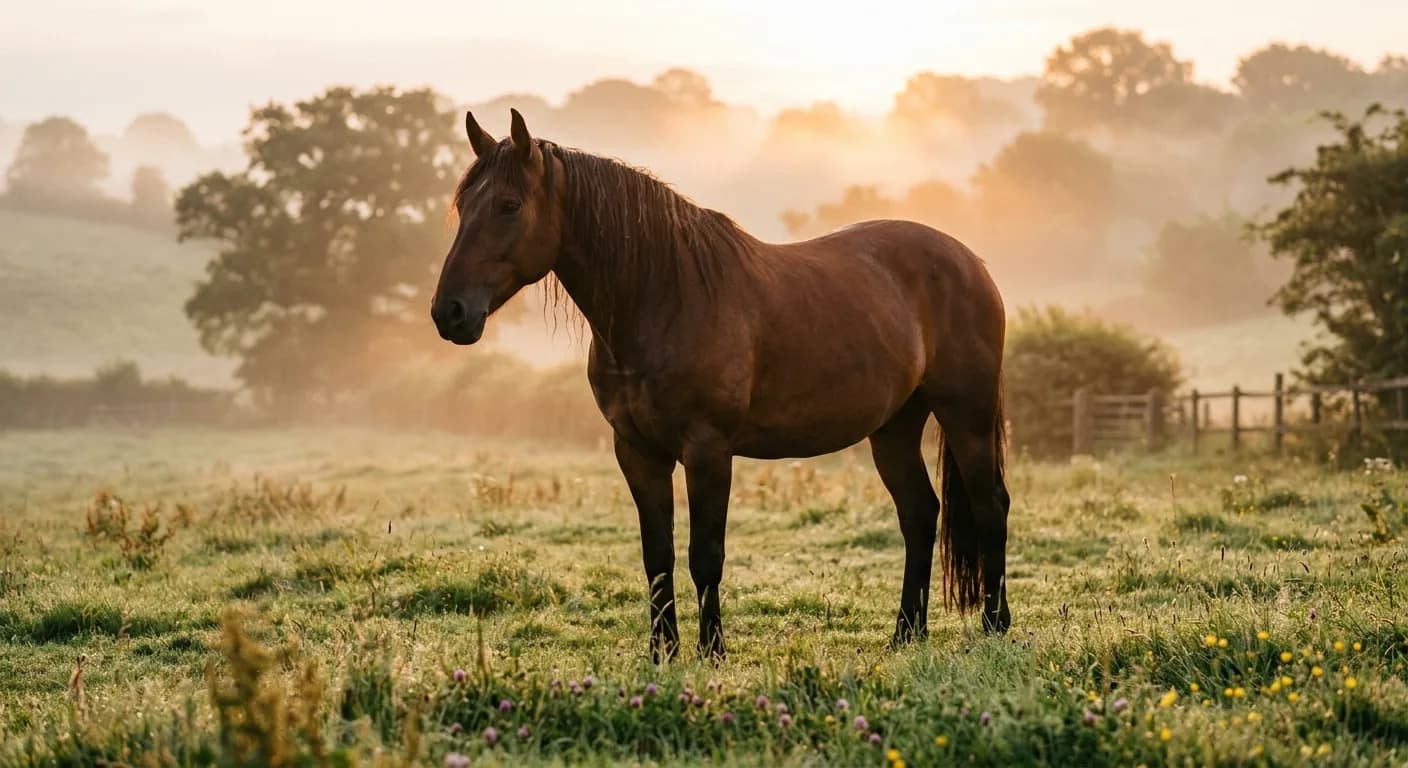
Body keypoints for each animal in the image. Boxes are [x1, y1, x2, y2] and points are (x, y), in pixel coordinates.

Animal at [431, 109, 1011, 662]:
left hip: (967, 415)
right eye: (463, 206)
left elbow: (705, 555)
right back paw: (906, 634)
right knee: (919, 514)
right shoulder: (637, 450)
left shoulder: (708, 449)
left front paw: (712, 651)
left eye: (508, 205)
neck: (665, 297)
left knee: (990, 505)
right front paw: (662, 653)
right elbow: (657, 555)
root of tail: (971, 261)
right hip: (894, 427)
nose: (449, 312)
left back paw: (994, 625)